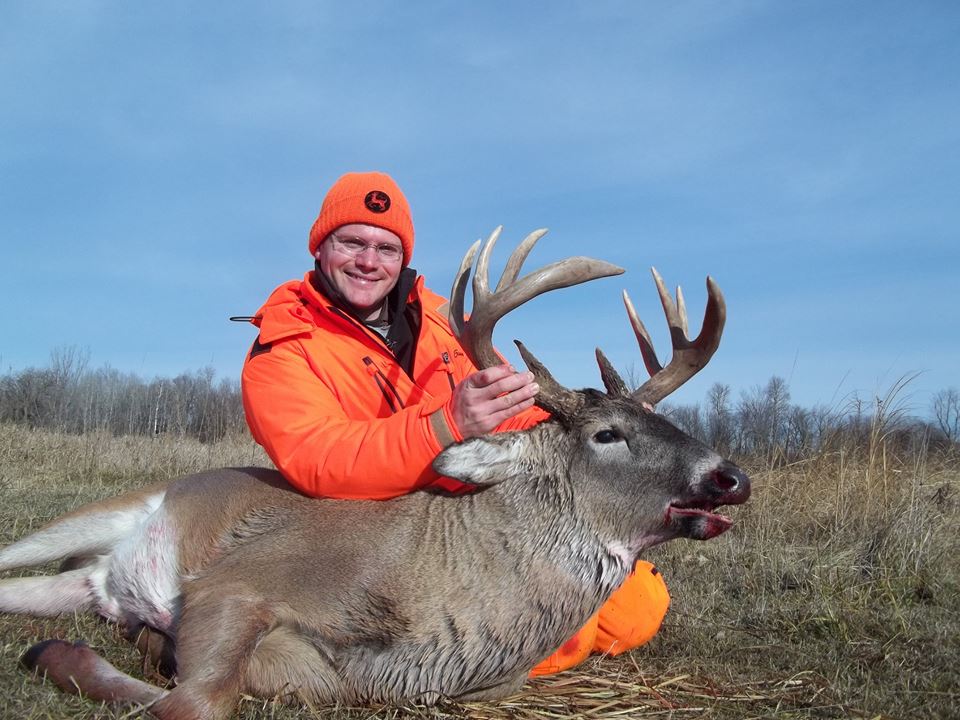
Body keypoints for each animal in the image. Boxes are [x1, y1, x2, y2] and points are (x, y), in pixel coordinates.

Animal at [0, 227, 749, 719]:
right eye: (607, 434)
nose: (731, 477)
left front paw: (141, 643)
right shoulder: (236, 580)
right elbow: (195, 703)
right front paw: (61, 656)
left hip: (83, 582)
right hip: (102, 514)